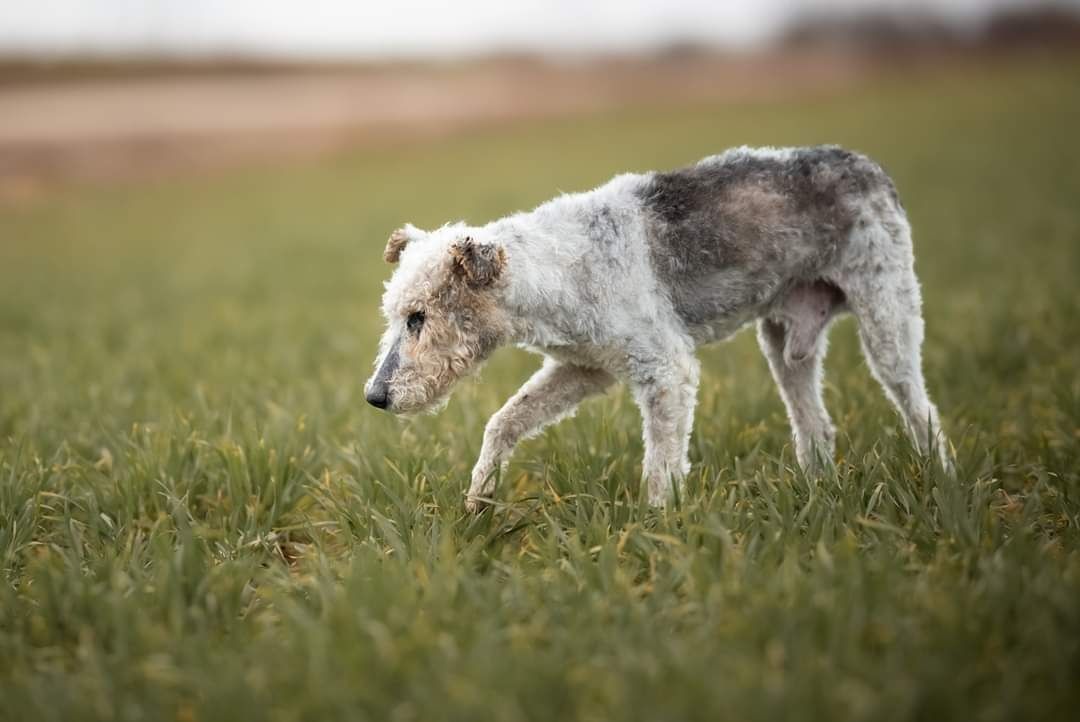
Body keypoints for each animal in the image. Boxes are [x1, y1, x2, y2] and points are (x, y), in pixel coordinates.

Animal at [365, 144, 954, 511]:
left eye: (419, 317)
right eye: (396, 315)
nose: (375, 397)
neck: (556, 268)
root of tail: (869, 165)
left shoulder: (666, 368)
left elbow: (660, 464)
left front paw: (658, 528)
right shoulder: (585, 367)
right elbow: (503, 422)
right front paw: (478, 501)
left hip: (887, 312)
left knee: (920, 408)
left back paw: (942, 481)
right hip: (786, 342)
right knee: (817, 425)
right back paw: (817, 490)